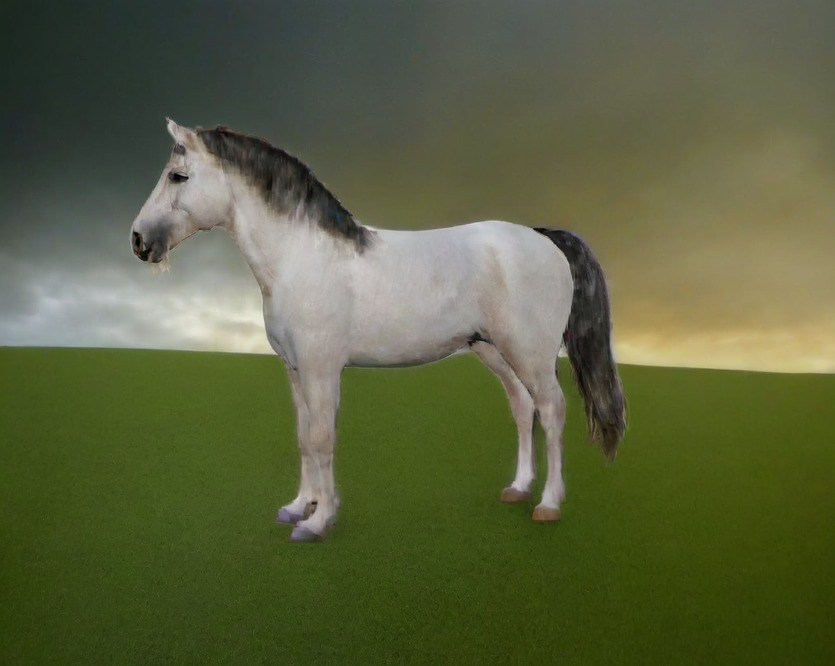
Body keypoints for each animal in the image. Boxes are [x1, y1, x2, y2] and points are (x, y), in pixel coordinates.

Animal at [130, 119, 627, 542]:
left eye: (178, 176)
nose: (138, 240)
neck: (302, 256)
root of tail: (543, 237)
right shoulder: (295, 370)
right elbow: (303, 438)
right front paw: (299, 507)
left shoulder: (321, 368)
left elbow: (322, 438)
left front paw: (318, 522)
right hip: (494, 351)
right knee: (524, 408)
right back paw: (519, 488)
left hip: (531, 353)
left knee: (552, 409)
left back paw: (548, 504)